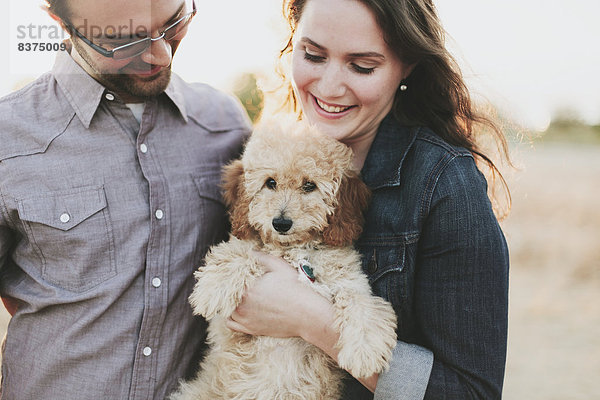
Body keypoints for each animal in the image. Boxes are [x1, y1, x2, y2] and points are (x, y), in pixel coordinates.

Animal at [170, 119, 398, 400]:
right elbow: (241, 251)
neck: (293, 250)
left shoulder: (349, 281)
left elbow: (362, 304)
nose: (280, 223)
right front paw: (214, 288)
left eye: (309, 185)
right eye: (270, 182)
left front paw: (365, 350)